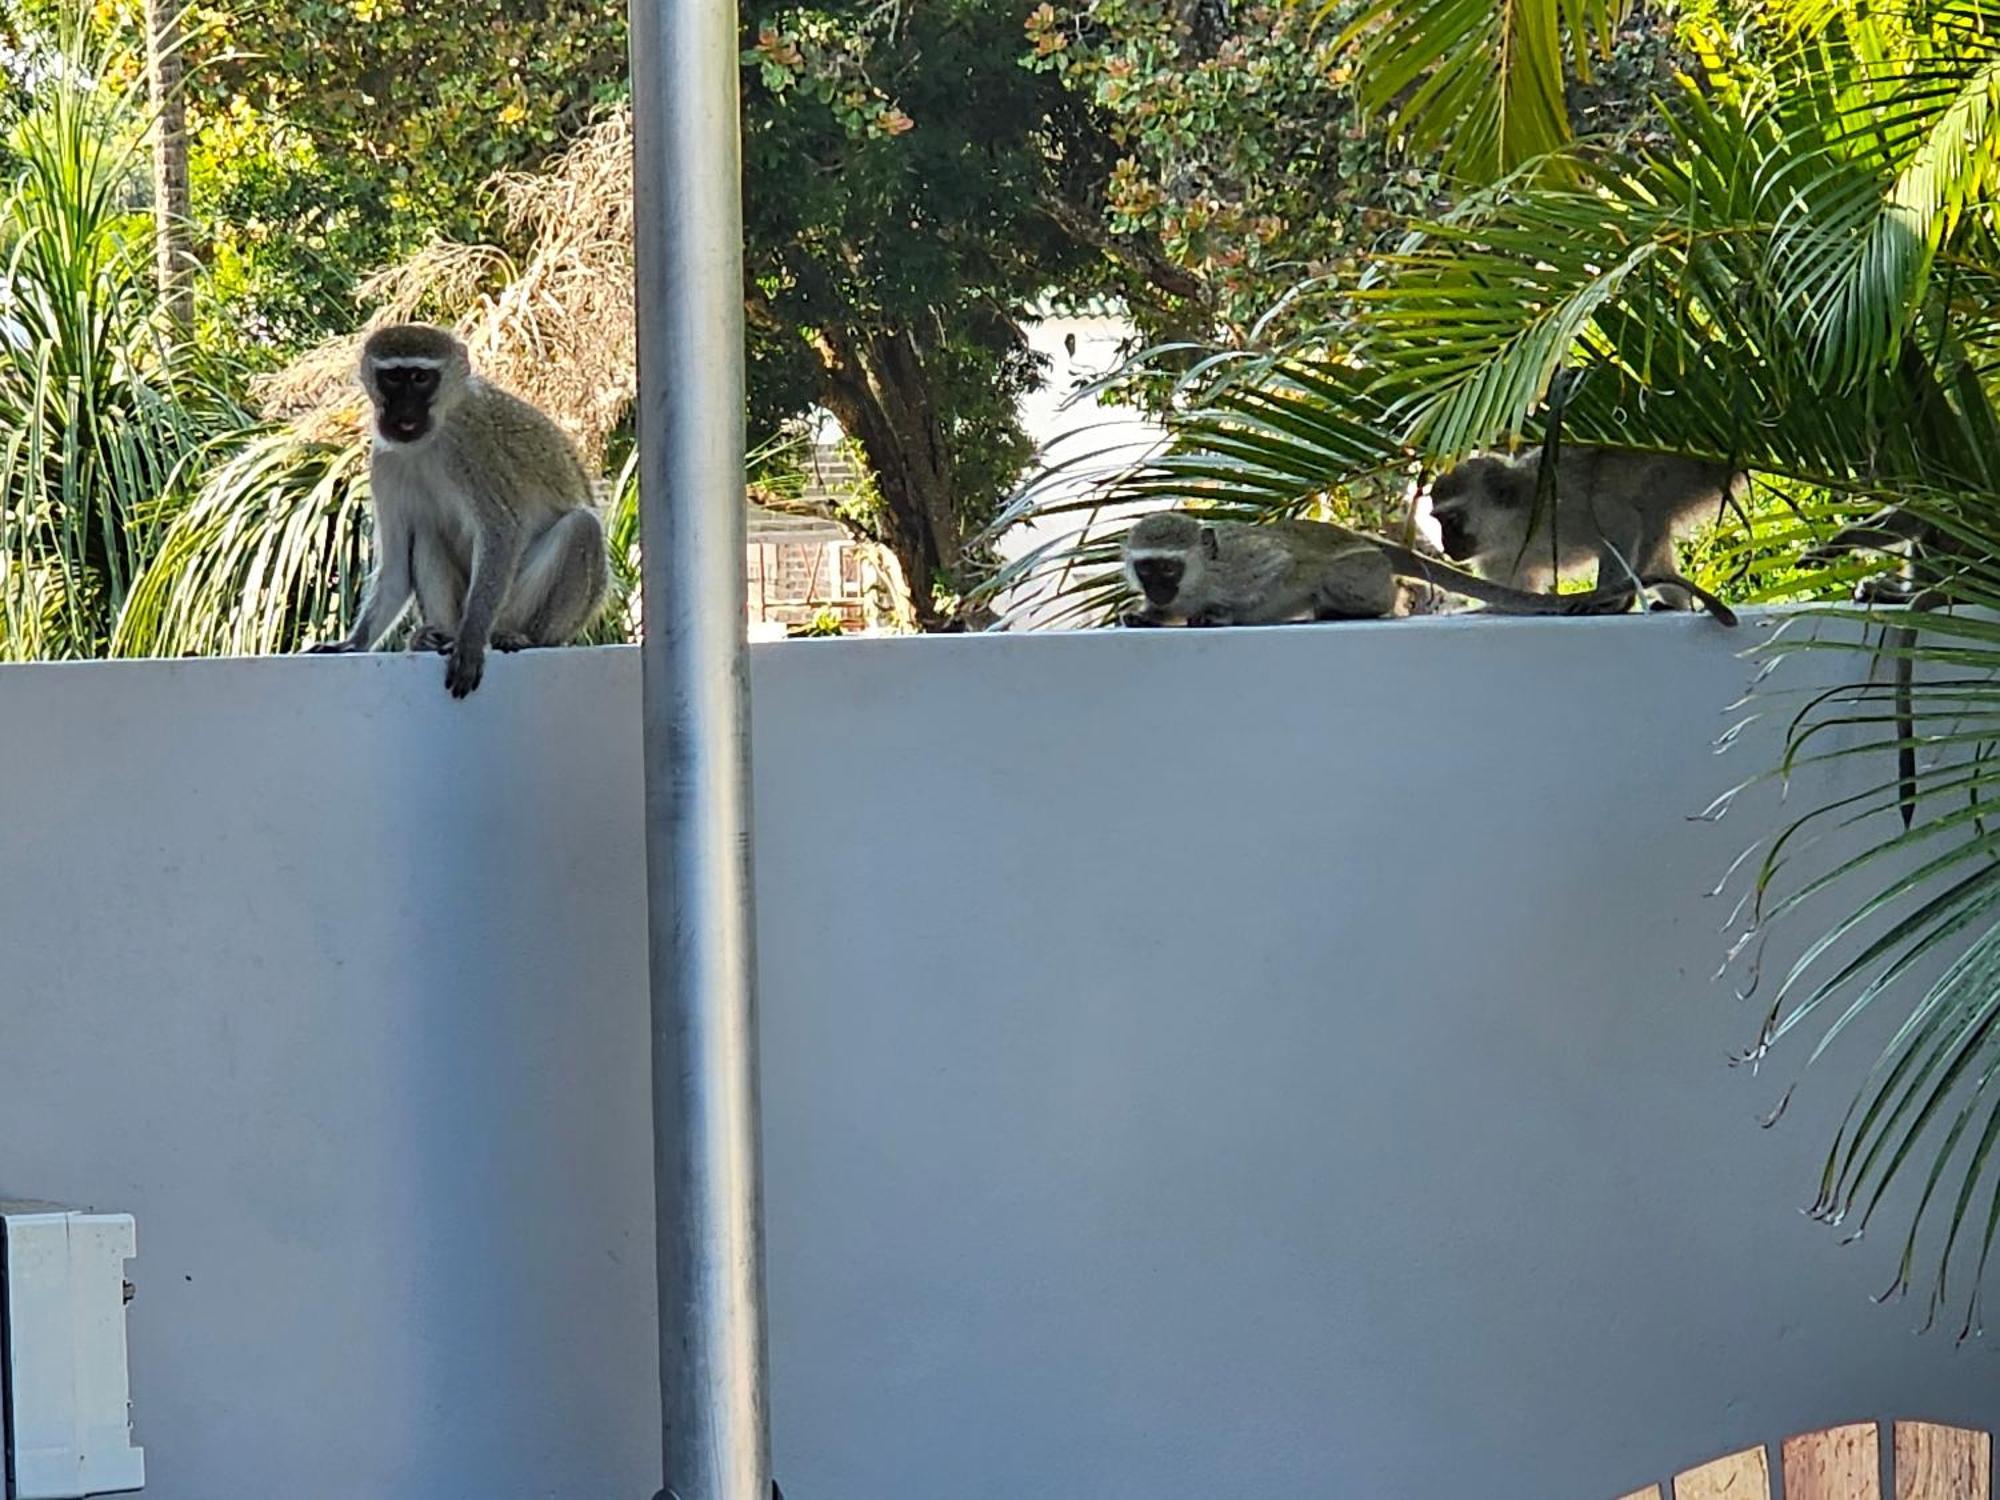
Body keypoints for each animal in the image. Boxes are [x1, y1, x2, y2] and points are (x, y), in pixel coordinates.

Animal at [308, 324, 608, 700]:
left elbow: (501, 533)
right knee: (425, 533)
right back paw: (435, 637)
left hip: (527, 608)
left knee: (582, 527)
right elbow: (395, 569)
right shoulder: (385, 463)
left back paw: (522, 637)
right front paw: (351, 644)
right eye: (392, 378)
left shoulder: (471, 445)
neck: (429, 440)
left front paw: (470, 643)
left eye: (420, 378)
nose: (403, 411)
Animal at [1432, 444, 1744, 612]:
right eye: (1438, 522)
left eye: (1452, 521)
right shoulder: (1495, 560)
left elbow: (1622, 520)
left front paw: (1606, 600)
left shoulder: (1564, 508)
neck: (1511, 530)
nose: (1446, 546)